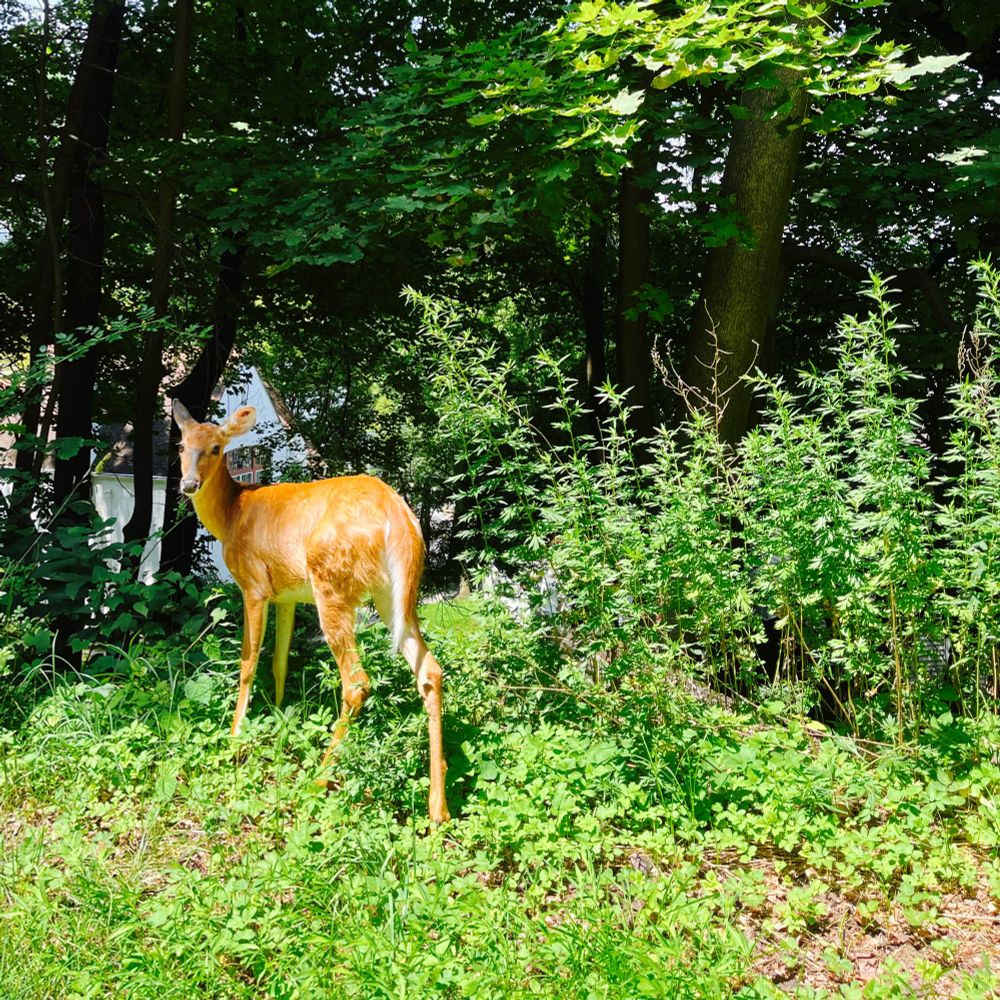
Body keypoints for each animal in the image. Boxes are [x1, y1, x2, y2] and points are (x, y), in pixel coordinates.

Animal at [171, 399, 449, 824]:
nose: (187, 485)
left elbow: (248, 662)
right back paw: (438, 810)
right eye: (181, 446)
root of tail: (400, 518)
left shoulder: (253, 585)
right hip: (393, 595)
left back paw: (318, 778)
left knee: (356, 682)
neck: (232, 514)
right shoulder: (286, 595)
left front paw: (235, 737)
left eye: (217, 448)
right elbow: (279, 661)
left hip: (330, 582)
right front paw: (279, 717)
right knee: (430, 670)